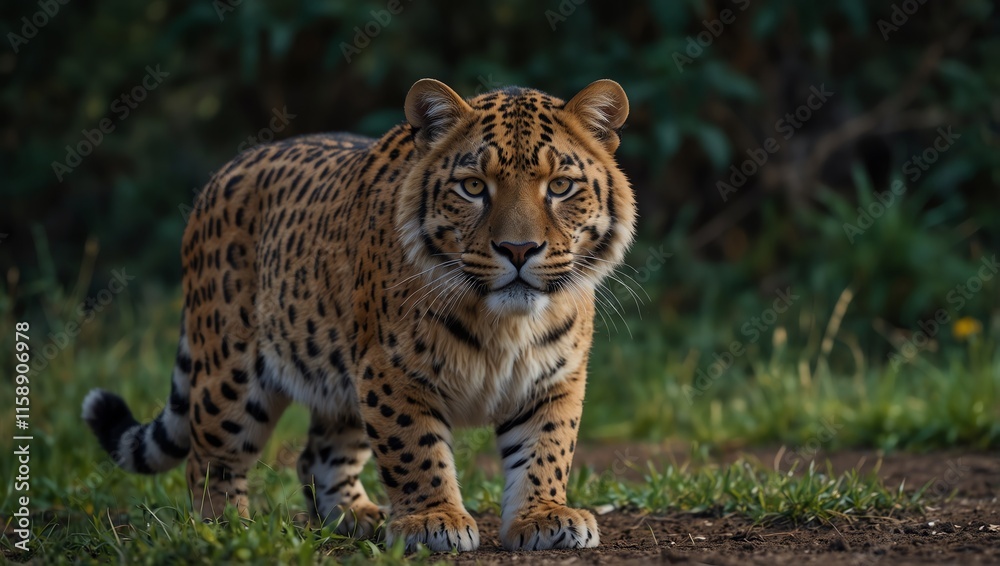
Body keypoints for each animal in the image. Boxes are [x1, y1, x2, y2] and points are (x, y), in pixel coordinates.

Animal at [82, 78, 636, 552]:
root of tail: (222, 174)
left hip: (338, 380)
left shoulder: (554, 377)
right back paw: (223, 529)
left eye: (560, 186)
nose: (518, 250)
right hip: (231, 375)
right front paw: (433, 520)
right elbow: (416, 449)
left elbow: (546, 449)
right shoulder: (391, 371)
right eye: (474, 187)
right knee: (208, 458)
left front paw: (543, 516)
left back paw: (354, 517)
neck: (506, 324)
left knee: (319, 455)